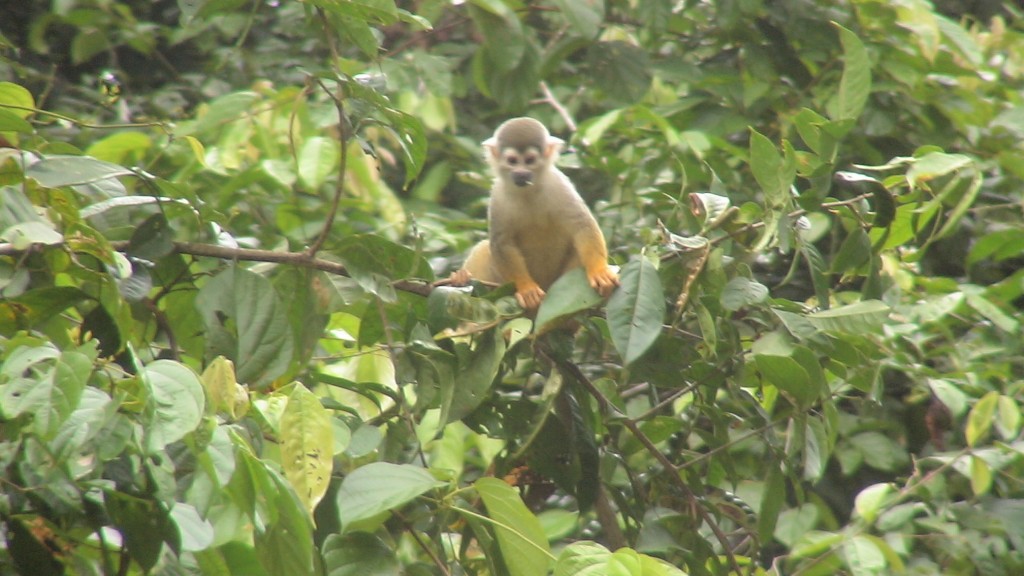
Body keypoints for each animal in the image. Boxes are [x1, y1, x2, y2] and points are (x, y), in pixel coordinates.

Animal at [450, 117, 619, 310]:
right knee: (483, 248)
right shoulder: (497, 195)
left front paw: (599, 271)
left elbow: (582, 225)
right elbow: (502, 243)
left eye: (530, 160)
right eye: (512, 160)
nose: (521, 173)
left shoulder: (558, 182)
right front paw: (526, 288)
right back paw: (461, 280)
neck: (528, 191)